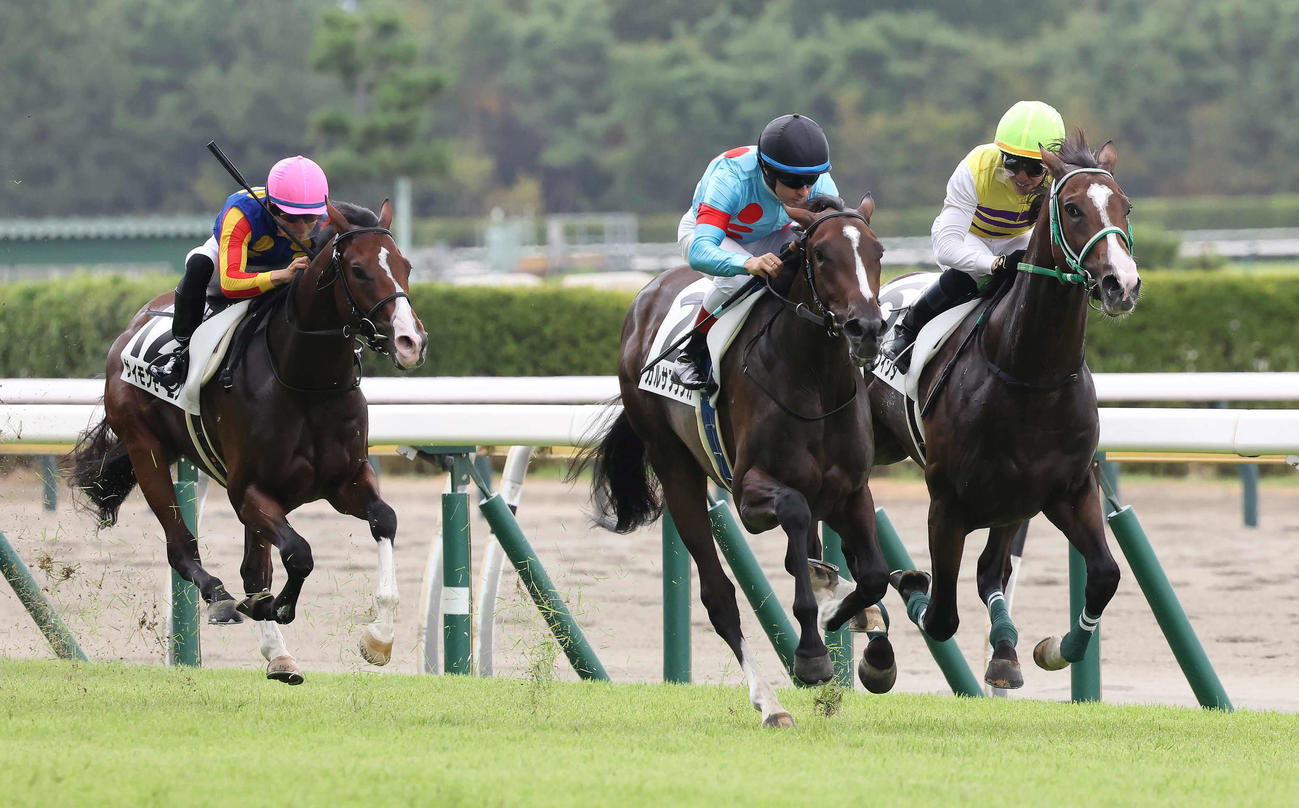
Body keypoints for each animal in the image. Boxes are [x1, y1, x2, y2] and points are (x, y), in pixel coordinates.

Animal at [69, 200, 428, 683]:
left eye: (406, 266)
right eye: (358, 269)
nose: (411, 342)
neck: (305, 382)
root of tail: (134, 324)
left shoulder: (346, 480)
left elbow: (384, 521)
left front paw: (379, 640)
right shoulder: (249, 491)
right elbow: (299, 554)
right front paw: (280, 607)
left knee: (253, 567)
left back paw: (278, 654)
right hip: (146, 451)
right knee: (182, 548)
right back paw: (223, 600)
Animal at [583, 195, 893, 727]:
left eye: (877, 253)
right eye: (820, 255)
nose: (868, 329)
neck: (815, 380)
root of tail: (644, 298)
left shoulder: (850, 490)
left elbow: (872, 576)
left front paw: (854, 629)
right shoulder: (750, 494)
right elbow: (792, 513)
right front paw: (812, 652)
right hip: (676, 469)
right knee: (719, 597)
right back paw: (770, 704)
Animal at [869, 132, 1140, 689]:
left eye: (1125, 207)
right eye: (1073, 208)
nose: (1121, 285)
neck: (1030, 376)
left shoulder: (1063, 489)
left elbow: (1104, 575)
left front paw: (1053, 649)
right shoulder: (947, 502)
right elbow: (939, 614)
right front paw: (908, 584)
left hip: (1007, 501)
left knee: (991, 569)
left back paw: (1004, 648)